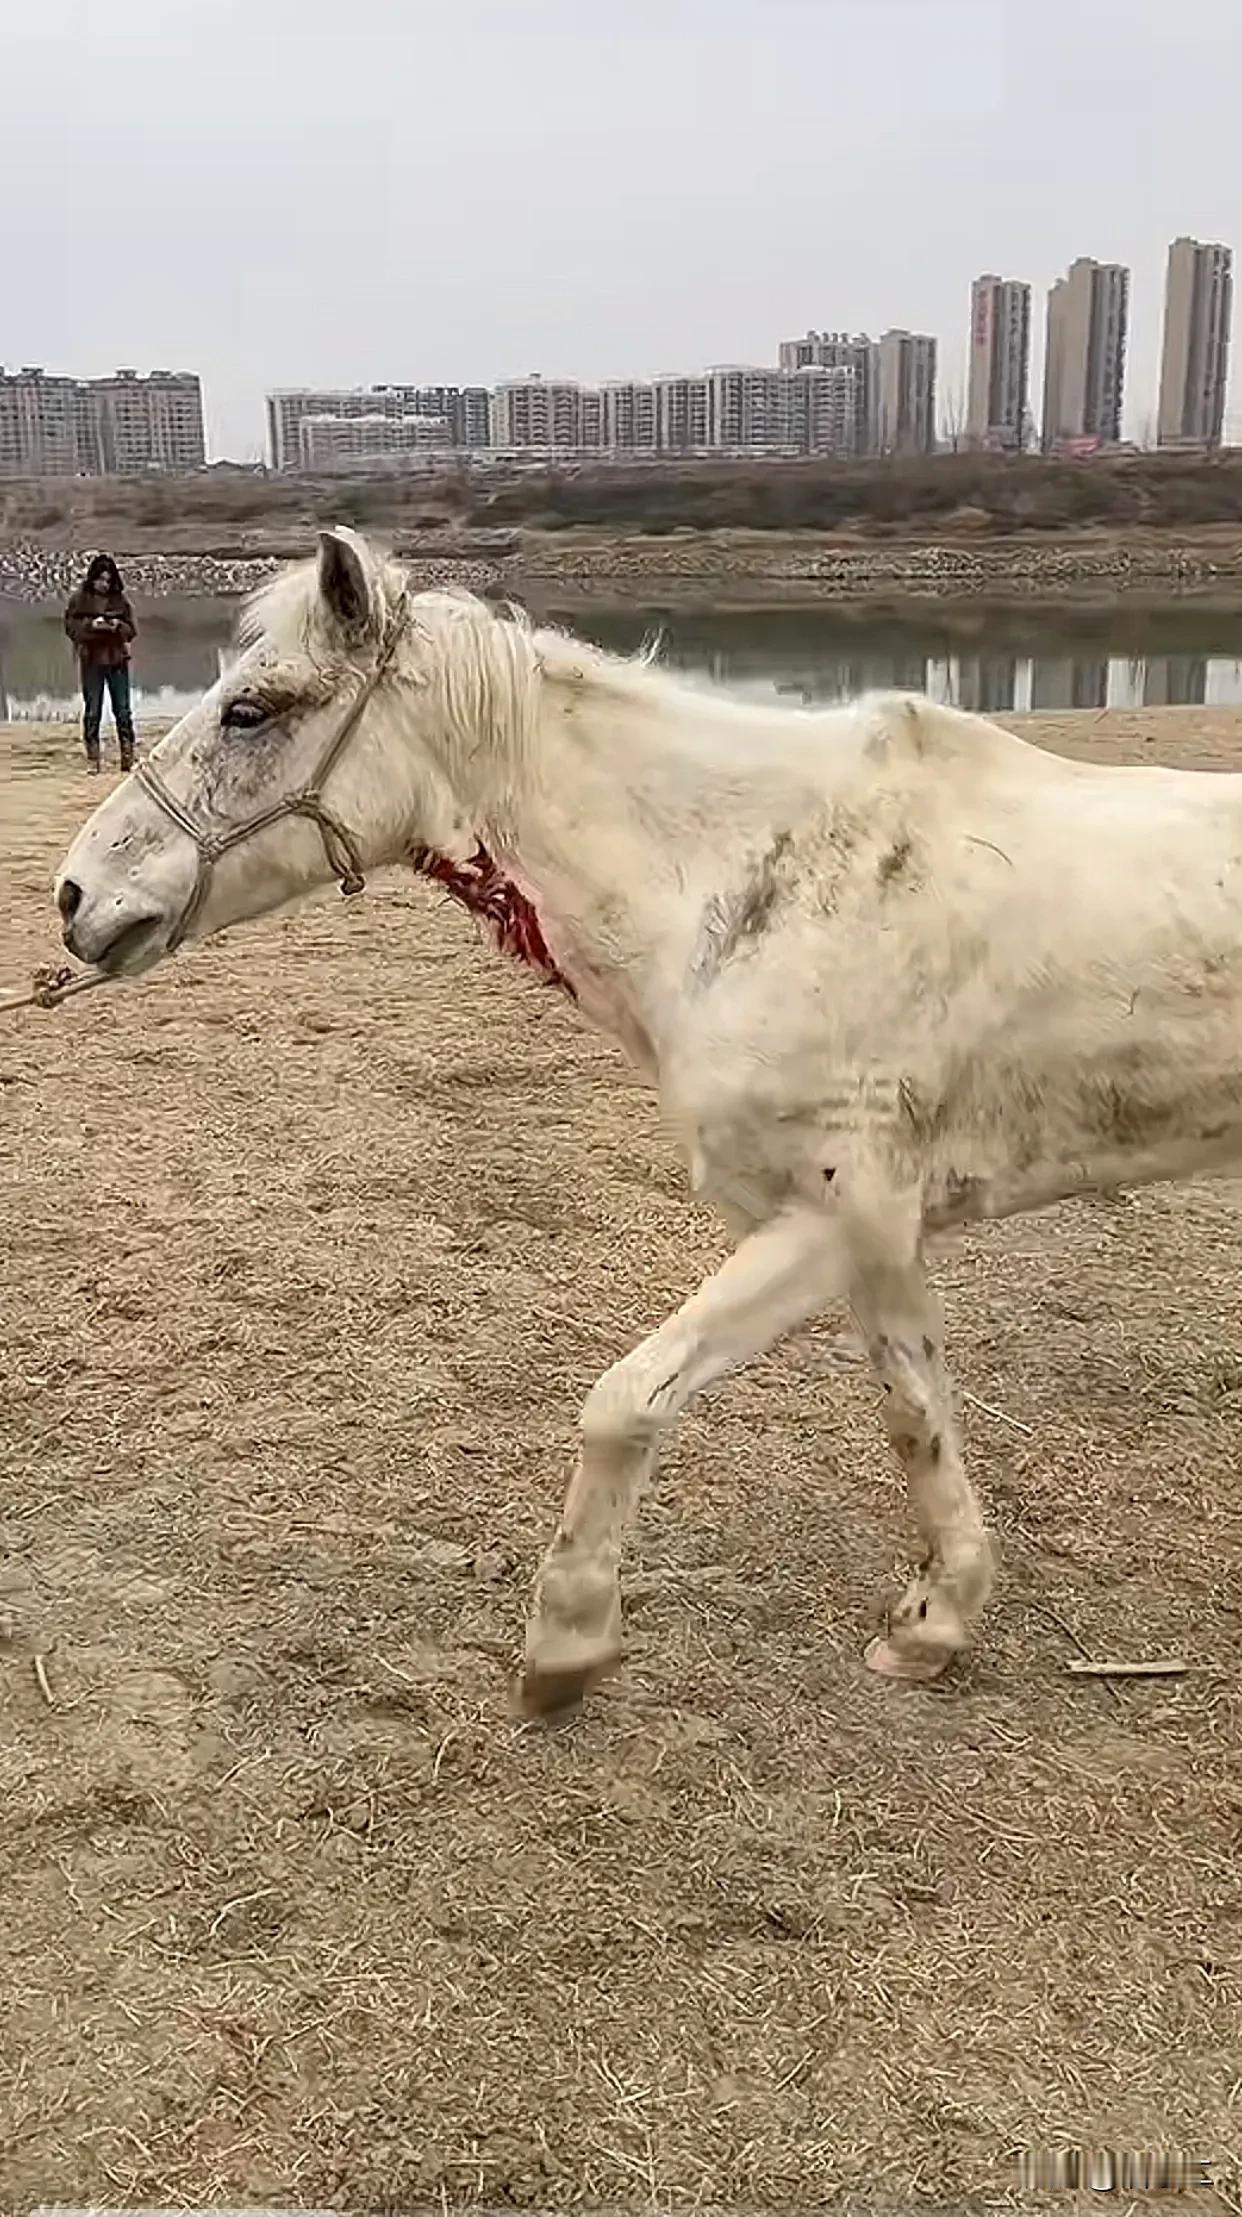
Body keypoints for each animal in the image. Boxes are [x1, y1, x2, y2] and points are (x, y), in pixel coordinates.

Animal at [51, 532, 1242, 1711]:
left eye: (250, 711)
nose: (73, 897)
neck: (748, 886)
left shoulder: (834, 1219)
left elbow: (626, 1402)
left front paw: (567, 1639)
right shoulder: (876, 1234)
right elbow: (917, 1412)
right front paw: (937, 1619)